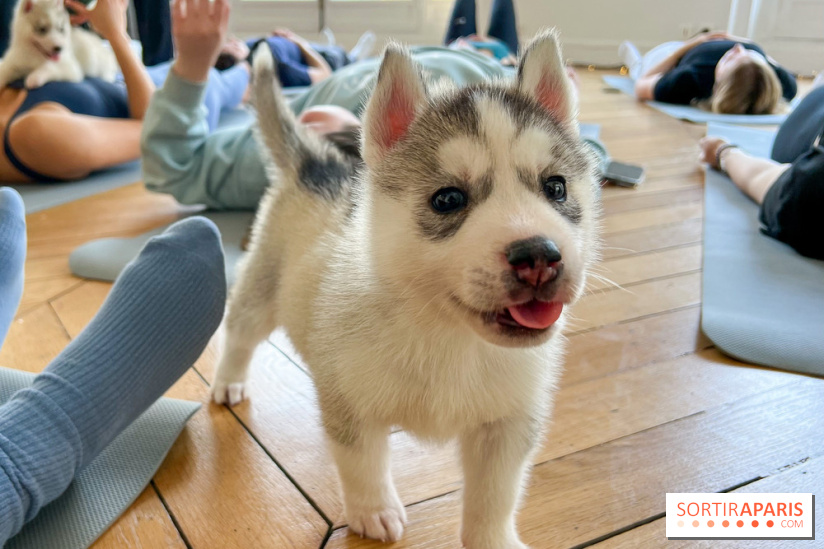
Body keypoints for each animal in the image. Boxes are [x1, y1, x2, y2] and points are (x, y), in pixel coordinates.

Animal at [212, 30, 600, 548]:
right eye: (448, 199)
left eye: (555, 188)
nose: (539, 256)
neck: (447, 335)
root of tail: (317, 167)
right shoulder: (353, 405)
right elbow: (363, 466)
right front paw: (374, 512)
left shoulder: (508, 424)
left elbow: (495, 494)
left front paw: (492, 538)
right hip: (261, 288)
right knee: (239, 332)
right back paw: (228, 380)